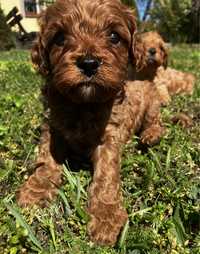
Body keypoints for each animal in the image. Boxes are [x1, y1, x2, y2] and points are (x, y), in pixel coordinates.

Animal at [16, 0, 164, 246]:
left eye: (114, 36)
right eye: (59, 38)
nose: (88, 63)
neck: (84, 104)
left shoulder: (110, 135)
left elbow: (106, 176)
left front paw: (105, 216)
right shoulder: (52, 127)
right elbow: (46, 159)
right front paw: (36, 190)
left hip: (151, 103)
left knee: (157, 122)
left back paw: (151, 136)